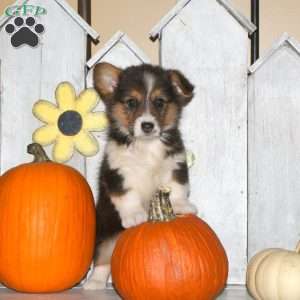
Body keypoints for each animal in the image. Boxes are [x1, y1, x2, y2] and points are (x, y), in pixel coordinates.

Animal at [83, 62, 198, 290]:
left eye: (160, 102)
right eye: (131, 102)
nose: (147, 125)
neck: (147, 146)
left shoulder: (175, 164)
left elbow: (177, 187)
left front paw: (182, 206)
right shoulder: (118, 173)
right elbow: (128, 197)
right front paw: (136, 215)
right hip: (107, 232)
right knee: (103, 259)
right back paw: (95, 283)